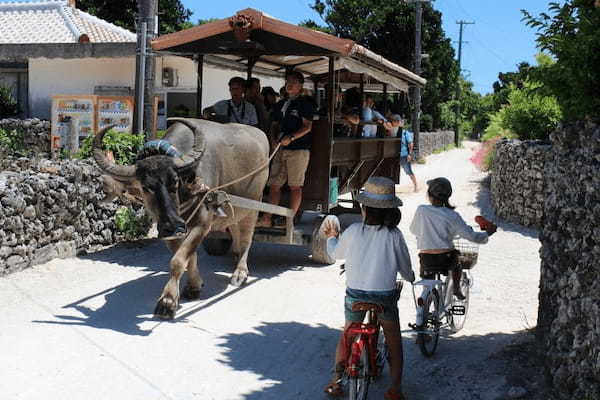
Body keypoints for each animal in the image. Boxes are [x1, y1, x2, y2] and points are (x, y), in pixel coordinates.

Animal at [92, 119, 268, 318]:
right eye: (146, 187)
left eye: (175, 181)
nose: (174, 226)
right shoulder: (168, 231)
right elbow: (187, 257)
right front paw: (193, 286)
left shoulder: (202, 225)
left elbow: (178, 261)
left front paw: (167, 301)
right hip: (236, 210)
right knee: (236, 229)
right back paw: (236, 255)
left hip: (254, 205)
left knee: (247, 238)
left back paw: (240, 273)